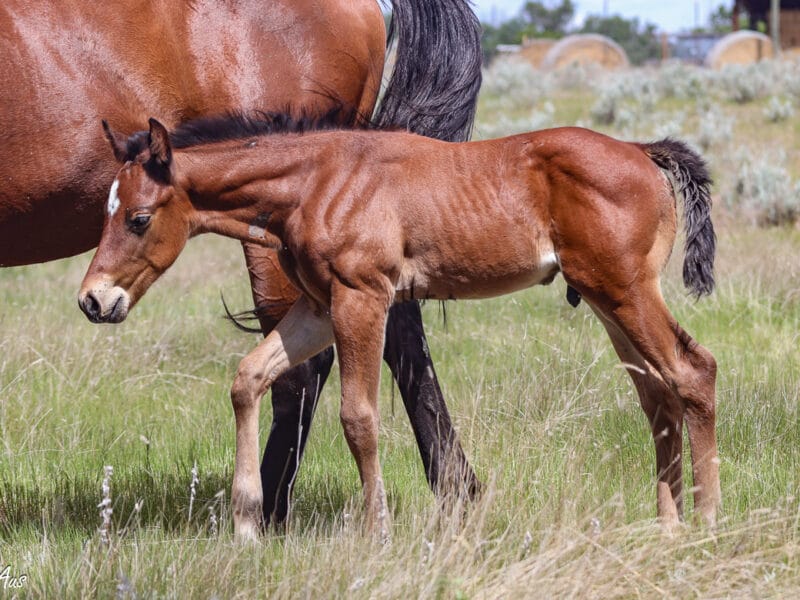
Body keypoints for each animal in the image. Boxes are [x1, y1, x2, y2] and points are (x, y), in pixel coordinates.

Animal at [79, 116, 720, 540]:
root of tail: (642, 151)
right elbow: (248, 378)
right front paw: (246, 527)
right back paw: (666, 526)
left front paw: (377, 532)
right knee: (657, 397)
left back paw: (707, 523)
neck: (314, 181)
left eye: (138, 218)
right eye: (105, 213)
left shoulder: (362, 298)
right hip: (608, 301)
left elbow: (358, 418)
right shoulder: (319, 306)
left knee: (693, 372)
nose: (94, 299)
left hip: (624, 293)